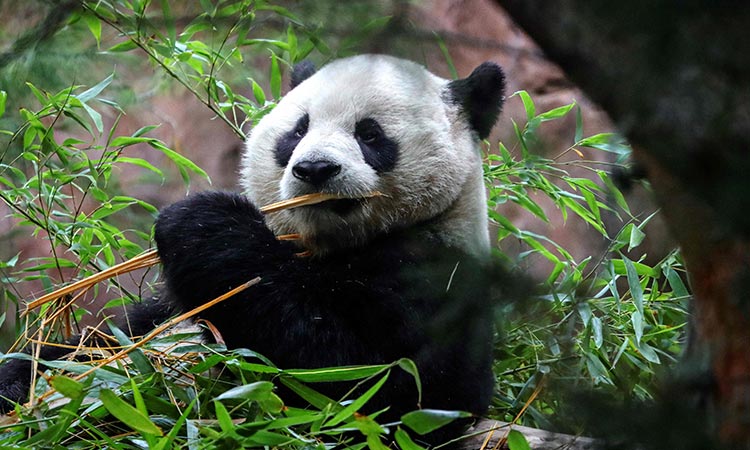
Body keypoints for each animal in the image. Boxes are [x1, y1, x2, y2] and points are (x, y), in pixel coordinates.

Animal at [1, 54, 506, 444]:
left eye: (370, 134)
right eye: (297, 131)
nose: (315, 169)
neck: (328, 245)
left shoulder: (437, 280)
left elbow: (366, 388)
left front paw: (202, 222)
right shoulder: (160, 315)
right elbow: (93, 347)